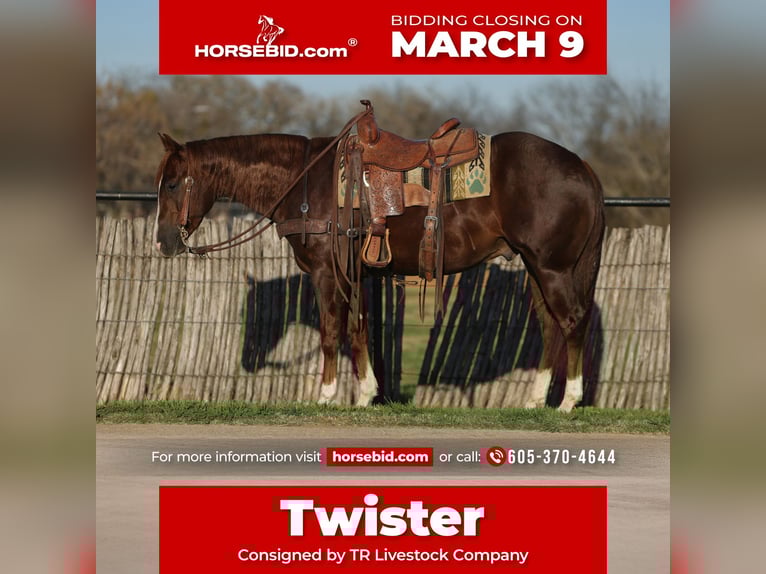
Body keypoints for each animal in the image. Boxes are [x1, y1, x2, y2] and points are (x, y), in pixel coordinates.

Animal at [153, 113, 605, 412]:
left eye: (173, 183)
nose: (163, 243)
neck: (304, 181)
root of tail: (581, 165)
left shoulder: (326, 272)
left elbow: (331, 332)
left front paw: (327, 395)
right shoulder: (355, 273)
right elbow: (359, 330)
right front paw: (366, 393)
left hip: (553, 268)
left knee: (572, 322)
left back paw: (569, 401)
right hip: (535, 267)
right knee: (549, 326)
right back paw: (534, 400)